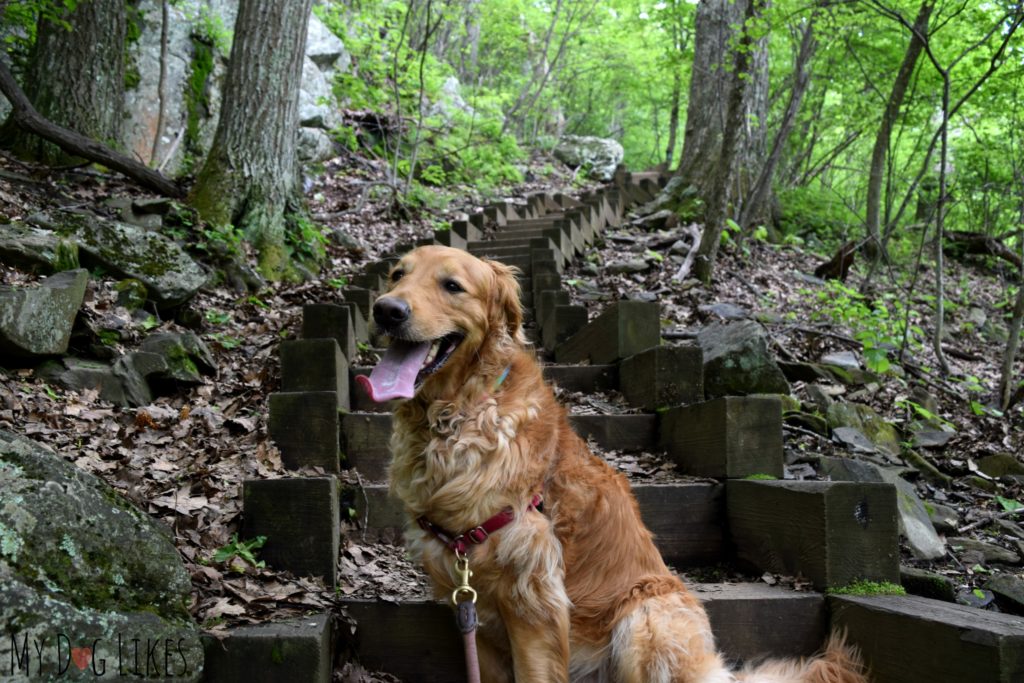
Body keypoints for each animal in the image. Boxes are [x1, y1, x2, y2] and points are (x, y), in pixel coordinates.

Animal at [356, 246, 868, 683]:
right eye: (397, 274)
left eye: (452, 285)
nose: (385, 310)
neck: (459, 415)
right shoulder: (469, 604)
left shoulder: (533, 599)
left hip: (645, 619)